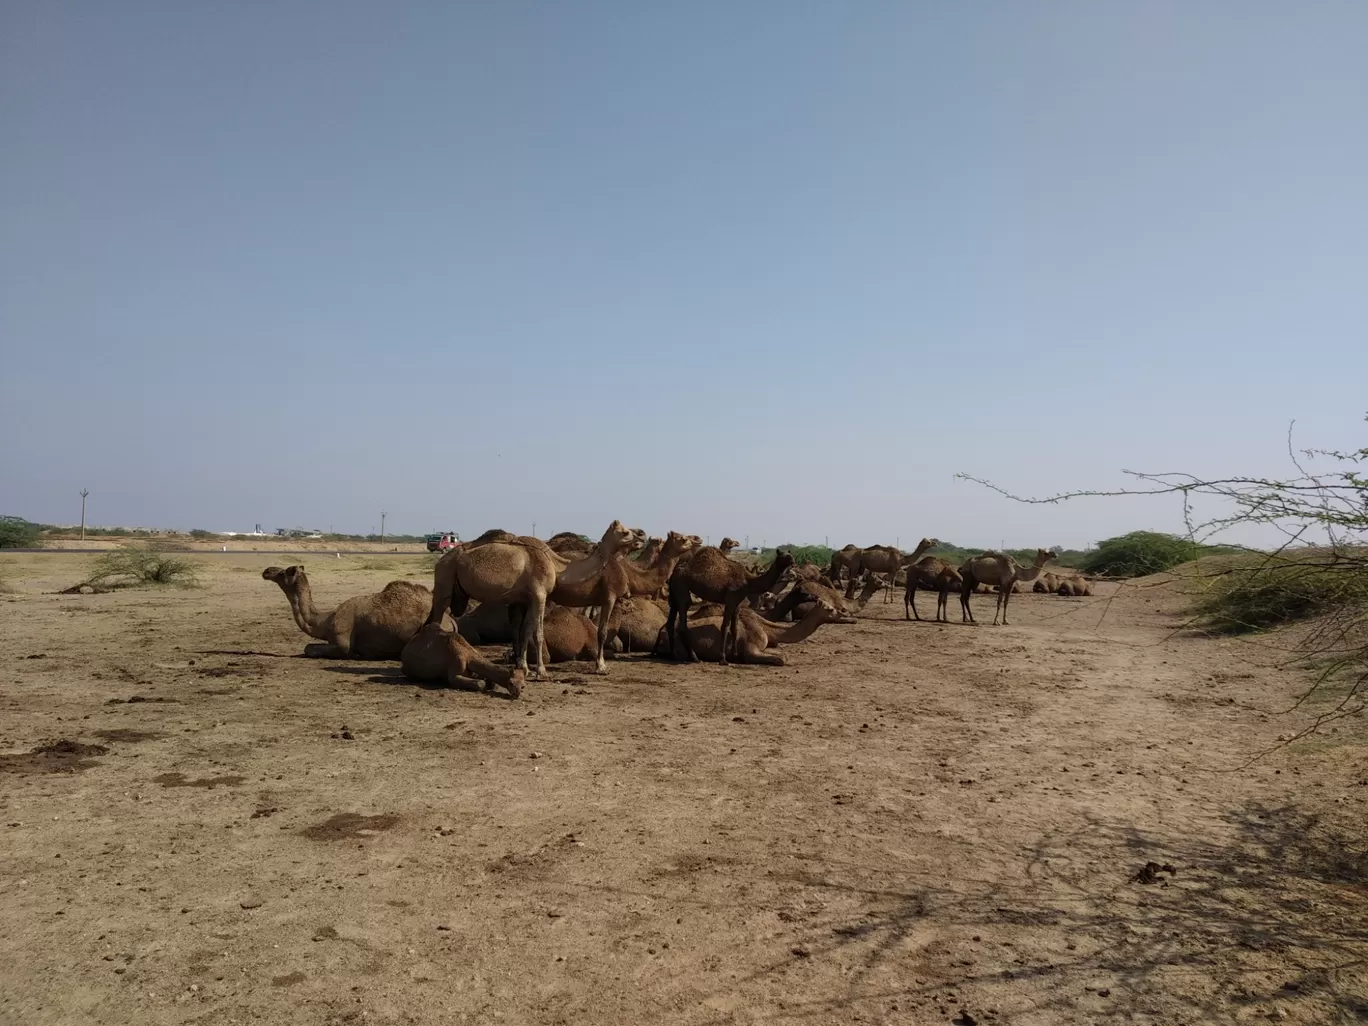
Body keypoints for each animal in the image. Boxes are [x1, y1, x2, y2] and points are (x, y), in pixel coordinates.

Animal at [262, 566, 437, 662]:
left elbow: (308, 648)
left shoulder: (343, 642)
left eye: (283, 573)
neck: (325, 621)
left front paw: (359, 655)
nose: (267, 571)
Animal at [424, 522, 637, 684]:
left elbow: (525, 632)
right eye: (625, 532)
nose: (641, 537)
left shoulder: (526, 598)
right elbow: (538, 633)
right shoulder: (539, 594)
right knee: (436, 617)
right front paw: (541, 672)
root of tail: (440, 561)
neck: (557, 565)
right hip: (444, 580)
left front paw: (525, 668)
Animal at [653, 599, 842, 670]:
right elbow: (781, 659)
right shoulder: (751, 649)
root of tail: (660, 632)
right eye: (829, 608)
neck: (766, 628)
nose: (842, 612)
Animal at [667, 547, 798, 667]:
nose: (793, 561)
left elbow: (734, 628)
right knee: (682, 623)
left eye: (790, 554)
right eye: (783, 556)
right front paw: (723, 659)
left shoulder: (737, 603)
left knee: (670, 622)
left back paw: (673, 655)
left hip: (674, 595)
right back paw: (695, 658)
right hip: (682, 591)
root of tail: (674, 573)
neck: (748, 581)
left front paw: (735, 657)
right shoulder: (730, 600)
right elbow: (725, 627)